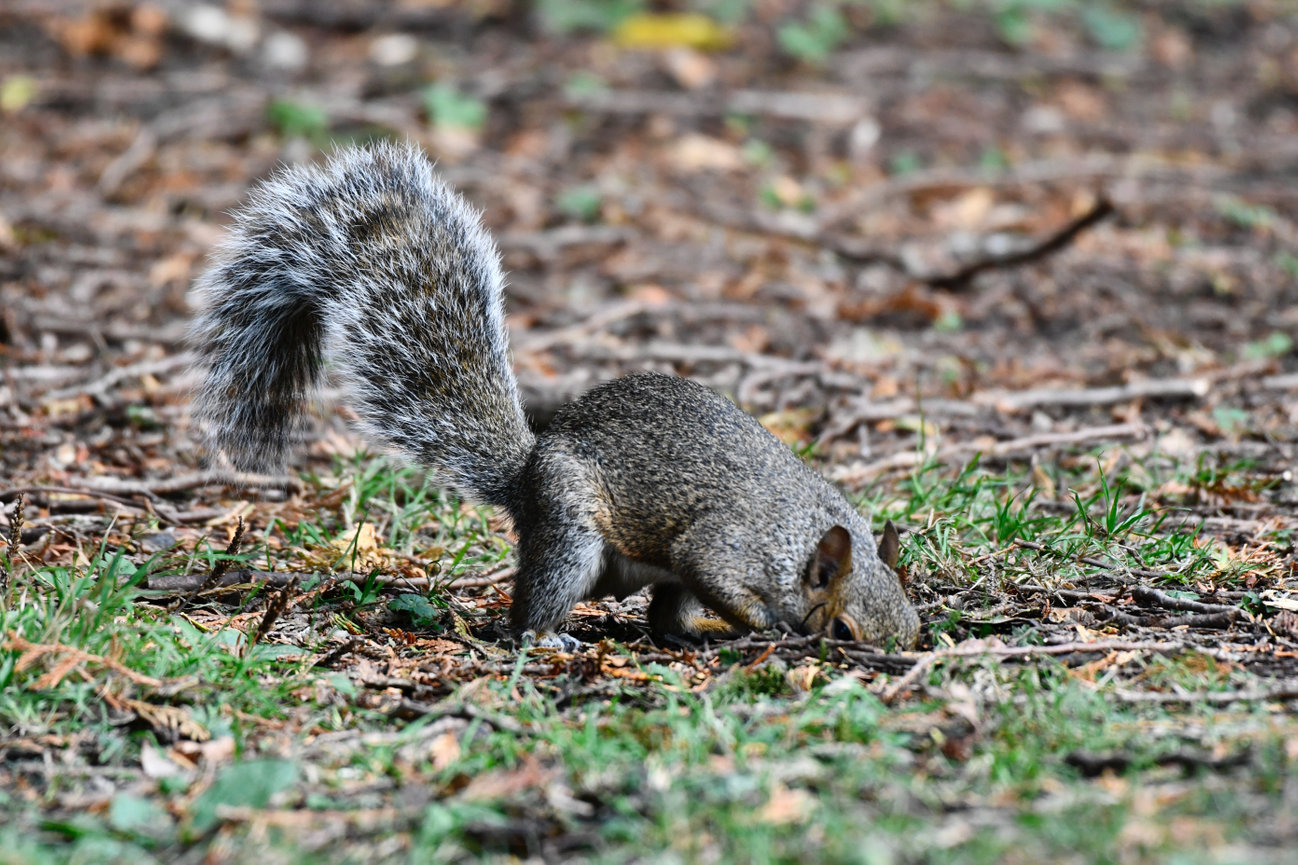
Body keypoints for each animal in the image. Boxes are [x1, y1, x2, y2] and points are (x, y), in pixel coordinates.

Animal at [189, 142, 924, 646]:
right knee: (534, 608)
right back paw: (547, 636)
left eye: (914, 624)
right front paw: (768, 624)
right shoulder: (722, 545)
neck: (798, 534)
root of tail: (526, 474)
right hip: (572, 532)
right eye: (845, 630)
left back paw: (690, 634)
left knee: (664, 616)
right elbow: (717, 571)